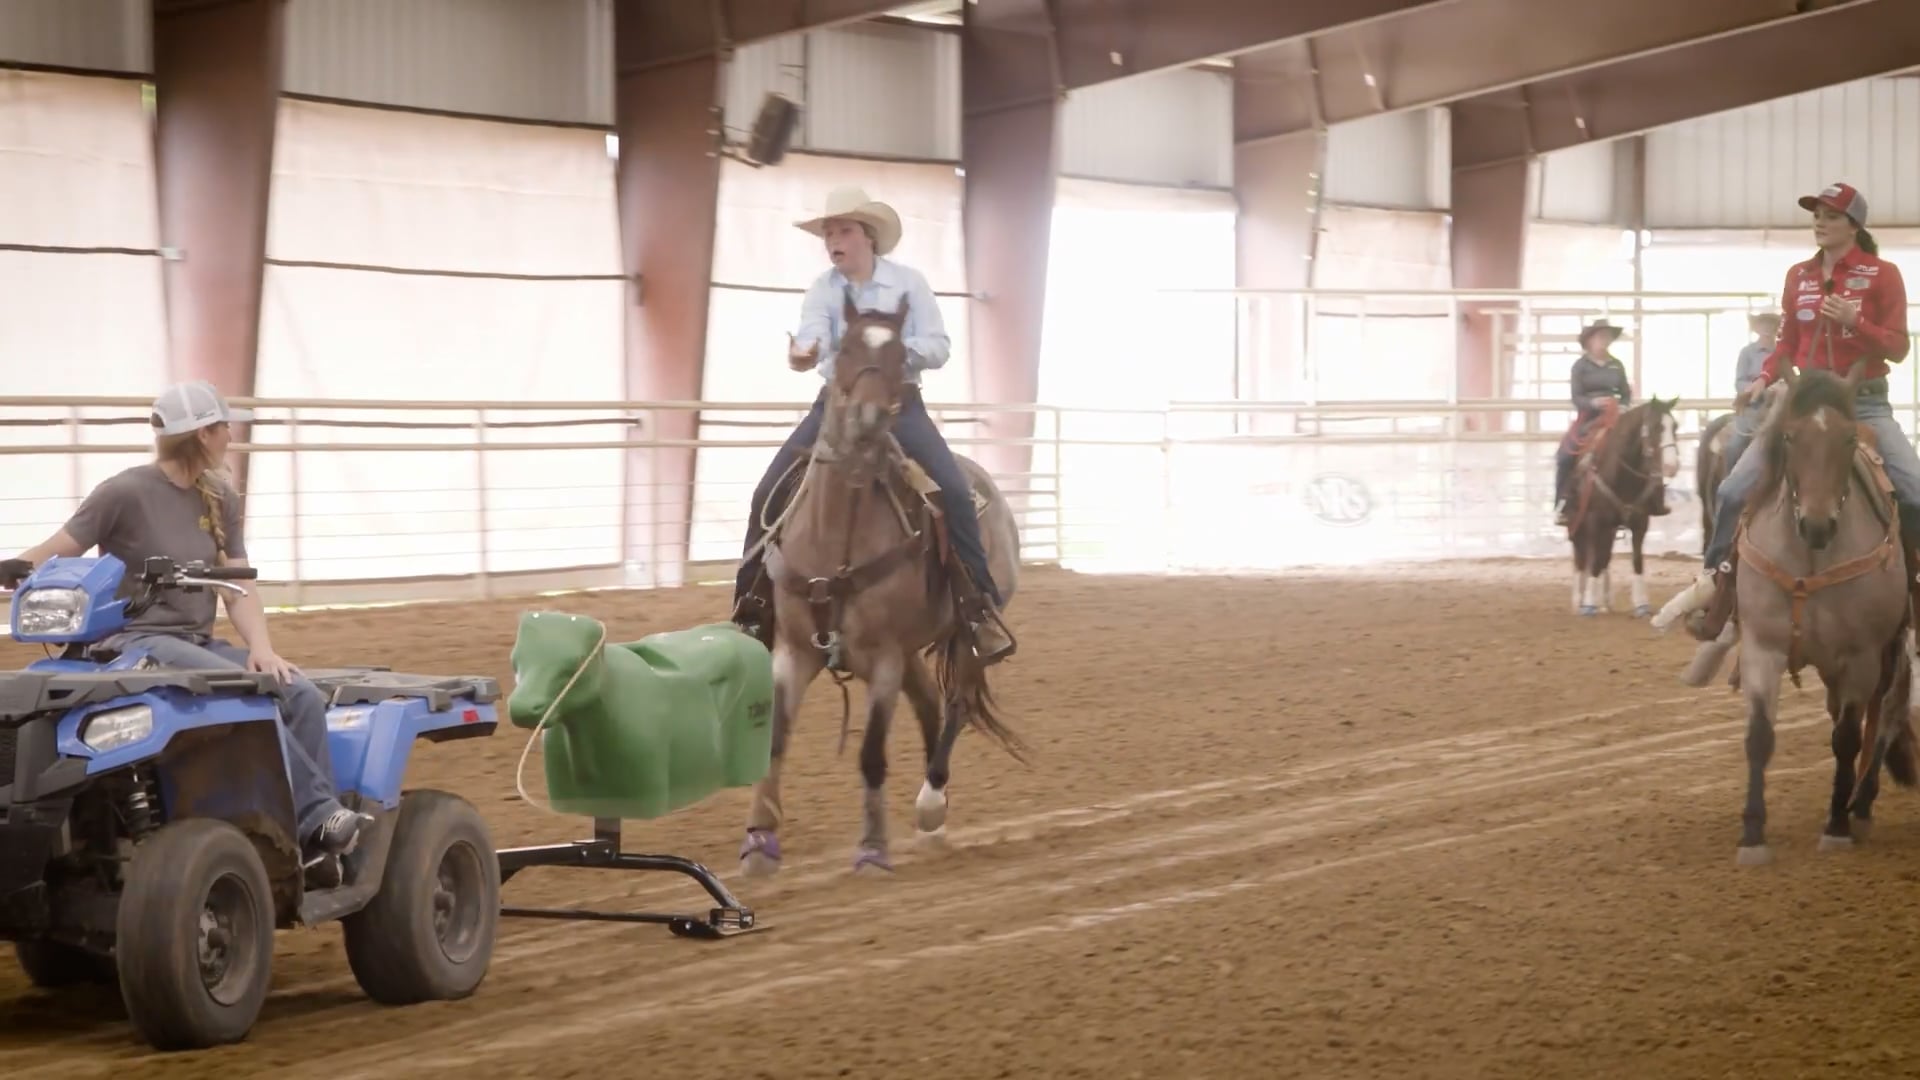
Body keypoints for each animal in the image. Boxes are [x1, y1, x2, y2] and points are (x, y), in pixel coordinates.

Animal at [733, 288, 1021, 876]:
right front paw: (760, 842)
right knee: (932, 703)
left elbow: (871, 753)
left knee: (956, 703)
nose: (866, 420)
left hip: (965, 633)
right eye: (842, 350)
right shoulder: (794, 652)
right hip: (911, 649)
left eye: (898, 359)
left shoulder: (884, 657)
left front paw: (871, 850)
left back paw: (931, 801)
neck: (835, 540)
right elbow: (775, 742)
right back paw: (936, 814)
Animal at [1566, 395, 1674, 614]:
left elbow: (1637, 560)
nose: (1672, 465)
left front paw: (1641, 604)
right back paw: (1578, 600)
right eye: (1656, 427)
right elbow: (1593, 562)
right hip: (1579, 525)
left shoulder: (1640, 522)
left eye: (1675, 426)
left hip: (1610, 530)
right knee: (1582, 557)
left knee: (1603, 558)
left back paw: (1606, 601)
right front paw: (1588, 603)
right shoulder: (1594, 521)